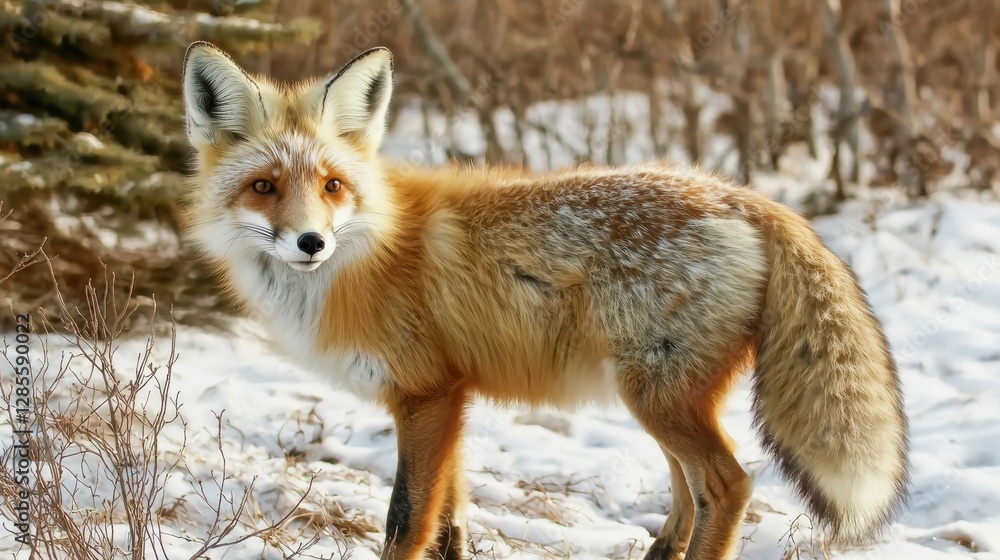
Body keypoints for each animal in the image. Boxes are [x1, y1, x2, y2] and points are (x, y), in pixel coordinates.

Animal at [181, 42, 909, 560]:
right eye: (265, 186)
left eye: (332, 185)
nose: (311, 242)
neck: (370, 251)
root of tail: (744, 196)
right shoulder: (450, 401)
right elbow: (450, 523)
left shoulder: (426, 395)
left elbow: (405, 523)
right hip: (663, 397)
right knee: (690, 491)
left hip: (655, 396)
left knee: (729, 487)